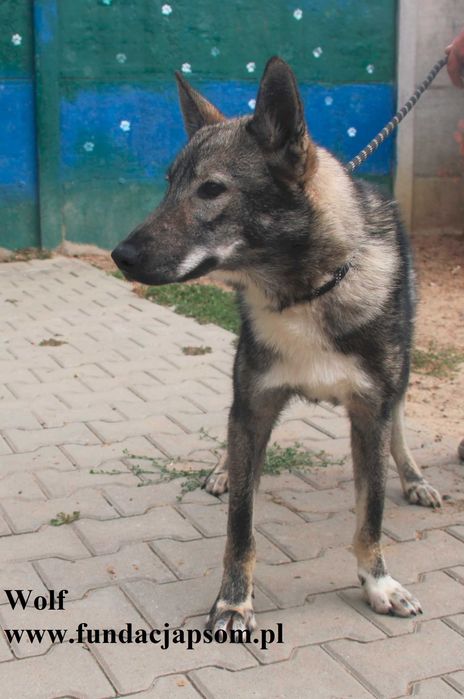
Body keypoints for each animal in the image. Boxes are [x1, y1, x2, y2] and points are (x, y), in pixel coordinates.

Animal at [112, 57, 442, 633]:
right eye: (170, 185)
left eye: (211, 190)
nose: (119, 256)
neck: (305, 293)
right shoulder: (255, 406)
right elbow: (240, 524)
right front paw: (233, 600)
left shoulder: (370, 413)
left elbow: (371, 513)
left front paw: (379, 583)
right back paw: (223, 469)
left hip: (398, 378)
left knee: (400, 423)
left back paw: (414, 477)